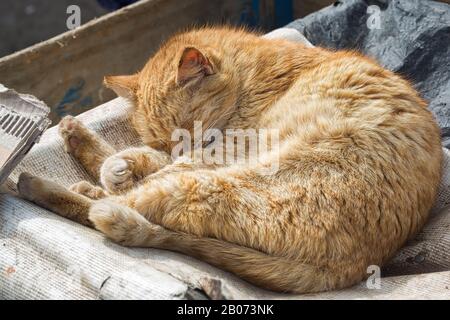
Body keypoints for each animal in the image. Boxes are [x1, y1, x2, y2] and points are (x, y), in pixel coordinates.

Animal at [15, 27, 442, 296]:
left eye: (188, 129)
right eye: (163, 137)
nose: (179, 149)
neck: (255, 76)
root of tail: (352, 268)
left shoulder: (222, 149)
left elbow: (161, 167)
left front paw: (115, 169)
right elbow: (149, 159)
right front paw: (118, 161)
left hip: (220, 184)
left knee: (117, 207)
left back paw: (37, 185)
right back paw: (79, 151)